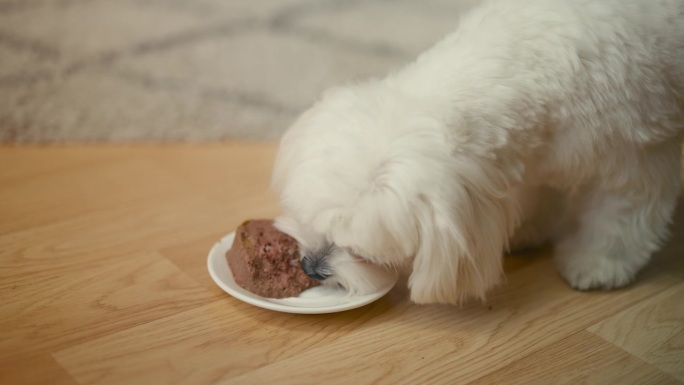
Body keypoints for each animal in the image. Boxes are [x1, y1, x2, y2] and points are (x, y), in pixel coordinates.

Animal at [270, 0, 680, 304]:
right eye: (310, 219)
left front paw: (597, 262)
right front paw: (524, 228)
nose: (310, 267)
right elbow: (535, 189)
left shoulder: (638, 153)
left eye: (362, 250)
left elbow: (621, 214)